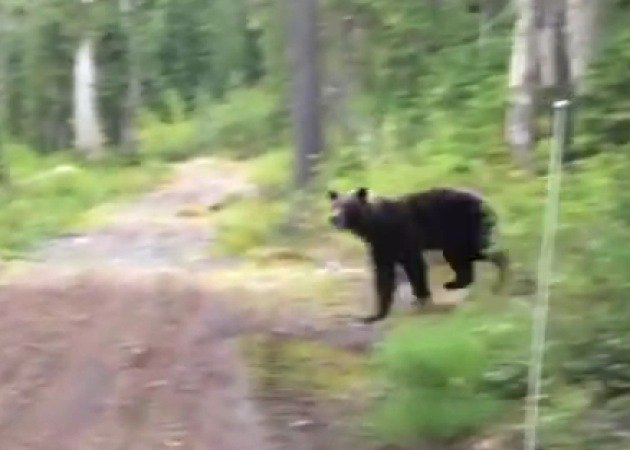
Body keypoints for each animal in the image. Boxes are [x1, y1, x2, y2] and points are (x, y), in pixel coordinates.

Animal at [328, 186, 512, 324]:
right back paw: (454, 283)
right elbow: (384, 276)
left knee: (482, 251)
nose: (334, 218)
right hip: (455, 238)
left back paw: (501, 277)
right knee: (460, 258)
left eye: (347, 206)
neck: (373, 226)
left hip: (464, 227)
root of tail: (486, 204)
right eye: (334, 205)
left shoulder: (401, 235)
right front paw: (374, 315)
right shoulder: (380, 247)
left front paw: (421, 297)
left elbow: (414, 265)